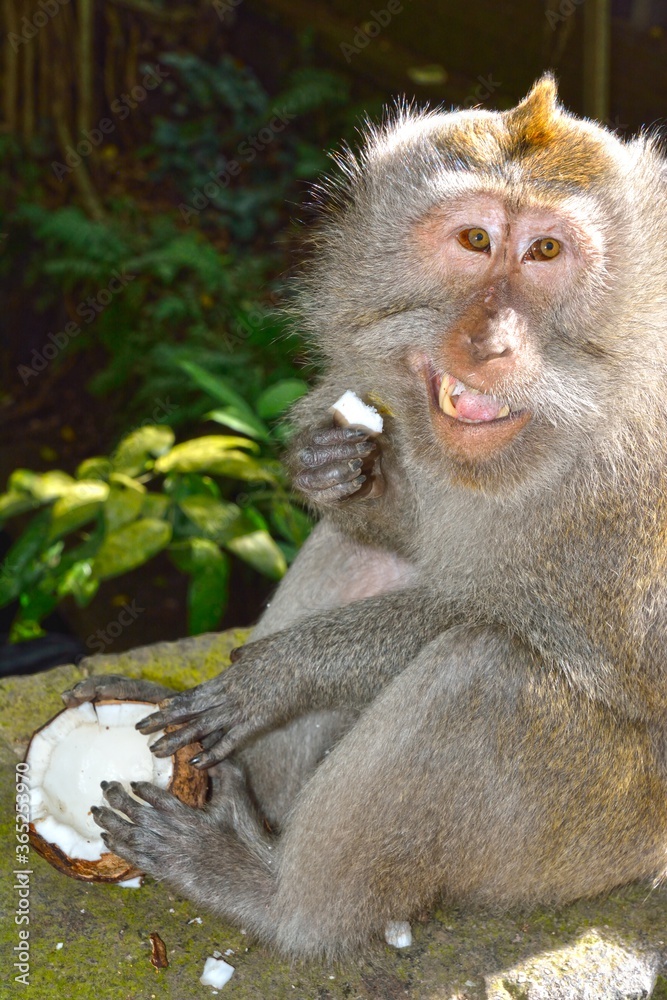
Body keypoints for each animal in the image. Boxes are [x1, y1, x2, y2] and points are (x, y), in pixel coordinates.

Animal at [62, 75, 667, 961]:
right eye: (476, 239)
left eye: (547, 254)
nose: (487, 342)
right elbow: (394, 535)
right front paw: (334, 474)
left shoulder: (630, 492)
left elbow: (569, 643)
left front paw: (285, 672)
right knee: (361, 555)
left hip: (600, 835)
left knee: (485, 670)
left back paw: (278, 899)